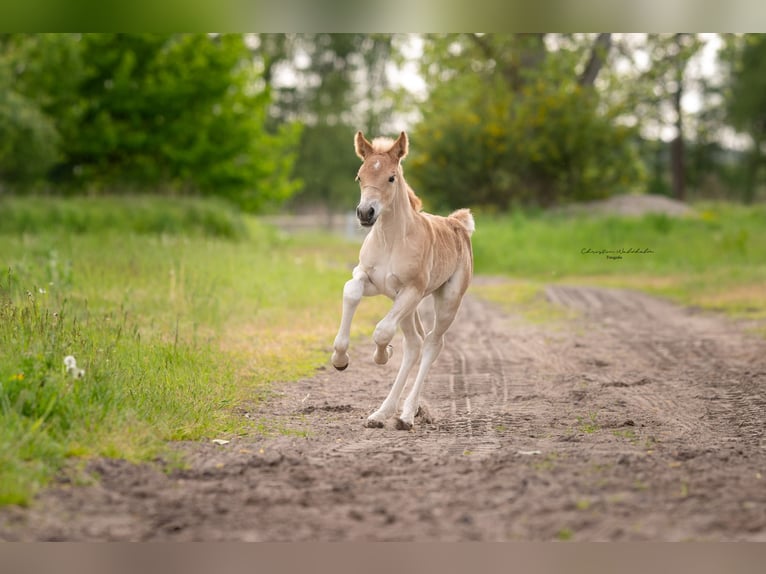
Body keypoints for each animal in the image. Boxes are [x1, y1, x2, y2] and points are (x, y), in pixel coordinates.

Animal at [332, 133, 476, 430]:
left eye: (391, 177)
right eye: (359, 176)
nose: (365, 213)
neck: (391, 240)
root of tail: (457, 224)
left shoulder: (412, 290)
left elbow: (382, 331)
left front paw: (382, 355)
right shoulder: (372, 280)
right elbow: (351, 291)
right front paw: (340, 359)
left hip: (445, 300)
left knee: (431, 343)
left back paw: (407, 414)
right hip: (407, 306)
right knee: (414, 344)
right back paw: (381, 414)